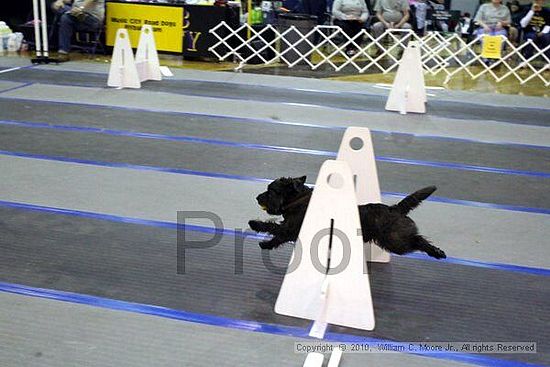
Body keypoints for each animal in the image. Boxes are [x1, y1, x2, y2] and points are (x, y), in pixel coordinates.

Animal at [248, 178, 446, 258]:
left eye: (271, 190)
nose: (257, 198)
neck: (300, 201)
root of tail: (394, 208)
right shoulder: (290, 229)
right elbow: (277, 237)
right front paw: (266, 244)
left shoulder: (291, 228)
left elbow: (273, 228)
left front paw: (254, 224)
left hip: (394, 240)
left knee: (418, 240)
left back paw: (437, 252)